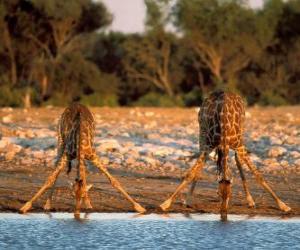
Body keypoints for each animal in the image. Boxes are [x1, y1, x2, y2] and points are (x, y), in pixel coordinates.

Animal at [161, 91, 292, 220]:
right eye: (218, 193)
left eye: (230, 193)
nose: (223, 213)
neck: (224, 129)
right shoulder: (209, 146)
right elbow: (190, 173)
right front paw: (166, 204)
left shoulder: (239, 145)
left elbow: (258, 175)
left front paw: (284, 206)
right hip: (202, 133)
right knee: (202, 164)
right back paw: (188, 200)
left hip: (241, 134)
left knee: (237, 160)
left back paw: (251, 201)